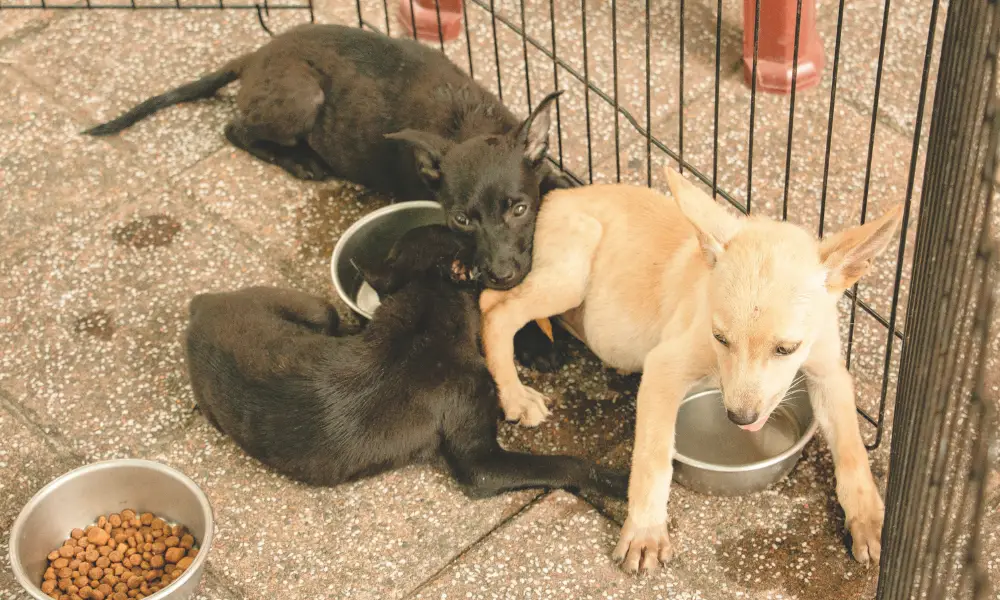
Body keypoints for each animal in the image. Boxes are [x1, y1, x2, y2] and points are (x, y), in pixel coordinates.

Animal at [184, 225, 624, 496]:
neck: (426, 313)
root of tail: (200, 305)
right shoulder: (481, 462)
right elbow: (566, 464)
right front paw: (616, 480)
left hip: (317, 313)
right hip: (316, 312)